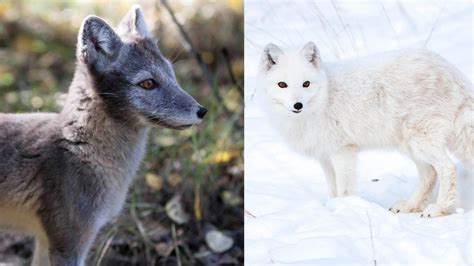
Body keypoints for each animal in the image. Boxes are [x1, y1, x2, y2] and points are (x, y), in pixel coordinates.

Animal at [0, 4, 207, 266]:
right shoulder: (69, 246)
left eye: (172, 75)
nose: (202, 111)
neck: (79, 148)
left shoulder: (47, 241)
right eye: (148, 83)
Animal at [260, 42, 474, 218]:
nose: (298, 105)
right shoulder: (325, 157)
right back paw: (410, 206)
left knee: (448, 168)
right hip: (410, 147)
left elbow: (344, 190)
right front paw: (333, 208)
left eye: (306, 84)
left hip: (421, 142)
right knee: (430, 174)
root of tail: (452, 72)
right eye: (282, 85)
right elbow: (333, 191)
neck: (324, 99)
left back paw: (439, 209)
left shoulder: (343, 152)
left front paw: (346, 210)